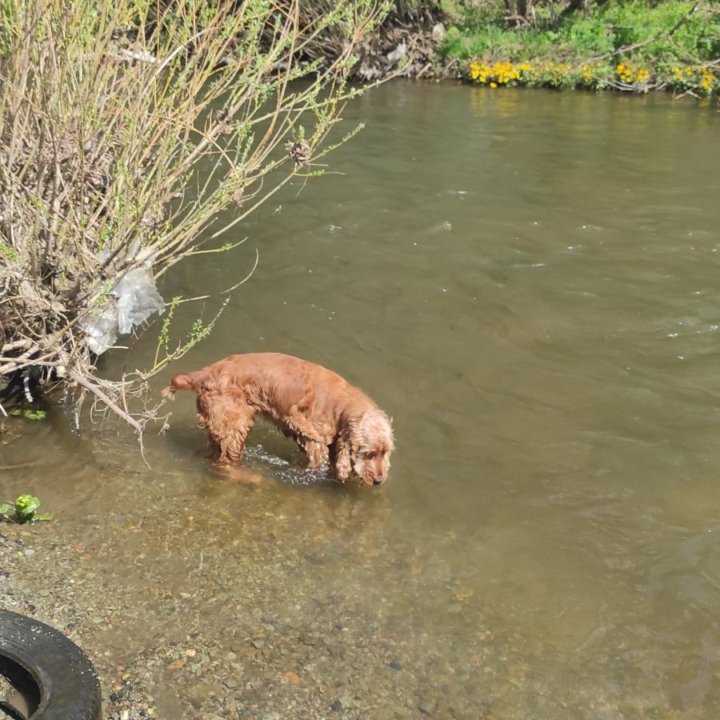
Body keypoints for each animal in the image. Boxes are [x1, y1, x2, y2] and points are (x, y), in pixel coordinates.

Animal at [165, 352, 394, 486]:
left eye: (386, 453)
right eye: (369, 453)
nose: (379, 480)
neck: (342, 405)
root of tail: (204, 374)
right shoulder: (306, 429)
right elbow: (316, 456)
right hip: (236, 426)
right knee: (225, 463)